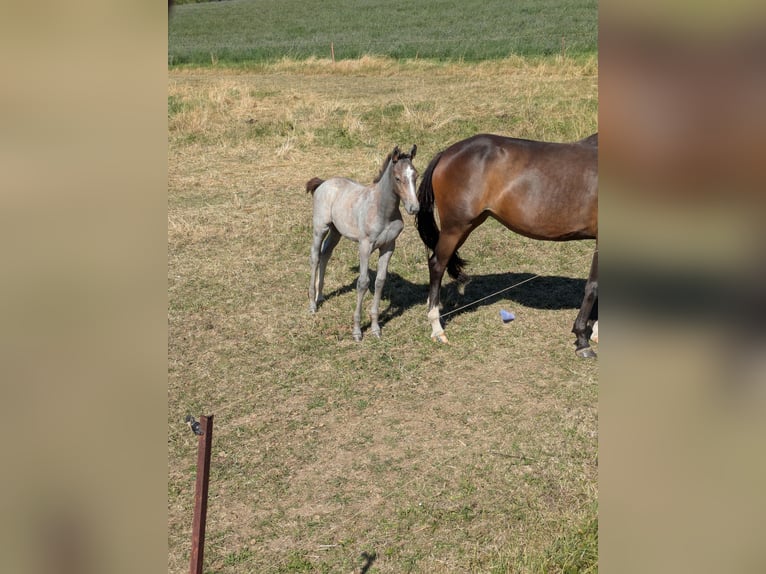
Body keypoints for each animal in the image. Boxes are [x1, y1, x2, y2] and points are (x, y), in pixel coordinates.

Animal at [306, 145, 419, 341]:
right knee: (315, 257)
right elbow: (363, 282)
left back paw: (320, 296)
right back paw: (312, 304)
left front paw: (375, 328)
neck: (383, 211)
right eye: (398, 178)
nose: (414, 208)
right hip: (320, 227)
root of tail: (323, 182)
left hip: (336, 231)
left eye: (416, 176)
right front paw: (357, 331)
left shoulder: (389, 246)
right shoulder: (365, 246)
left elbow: (380, 281)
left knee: (325, 254)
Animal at [415, 133, 598, 357]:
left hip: (467, 225)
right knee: (437, 265)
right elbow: (593, 286)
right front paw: (582, 339)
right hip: (455, 227)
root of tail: (446, 154)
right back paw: (437, 327)